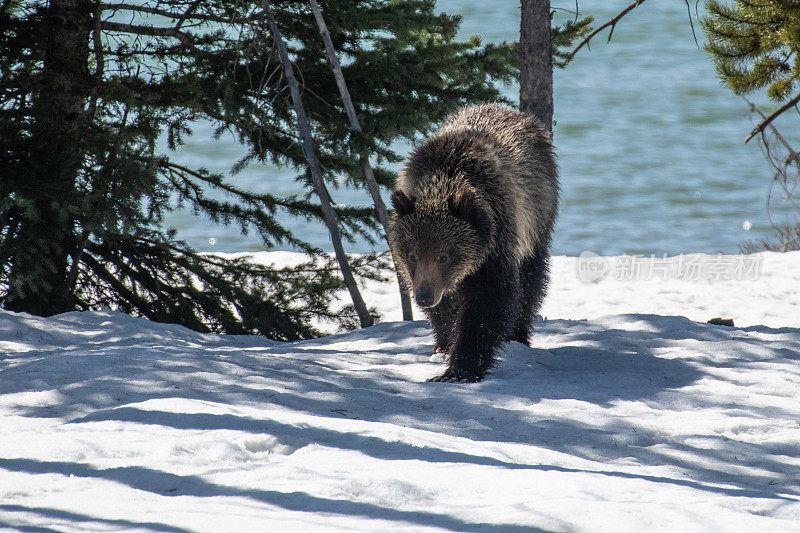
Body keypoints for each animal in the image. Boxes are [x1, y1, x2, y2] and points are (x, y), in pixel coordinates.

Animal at [388, 102, 556, 380]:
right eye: (412, 255)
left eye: (443, 255)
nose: (424, 297)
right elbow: (446, 311)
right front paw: (444, 345)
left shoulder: (496, 242)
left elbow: (488, 302)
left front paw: (460, 368)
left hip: (537, 217)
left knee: (531, 280)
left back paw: (518, 335)